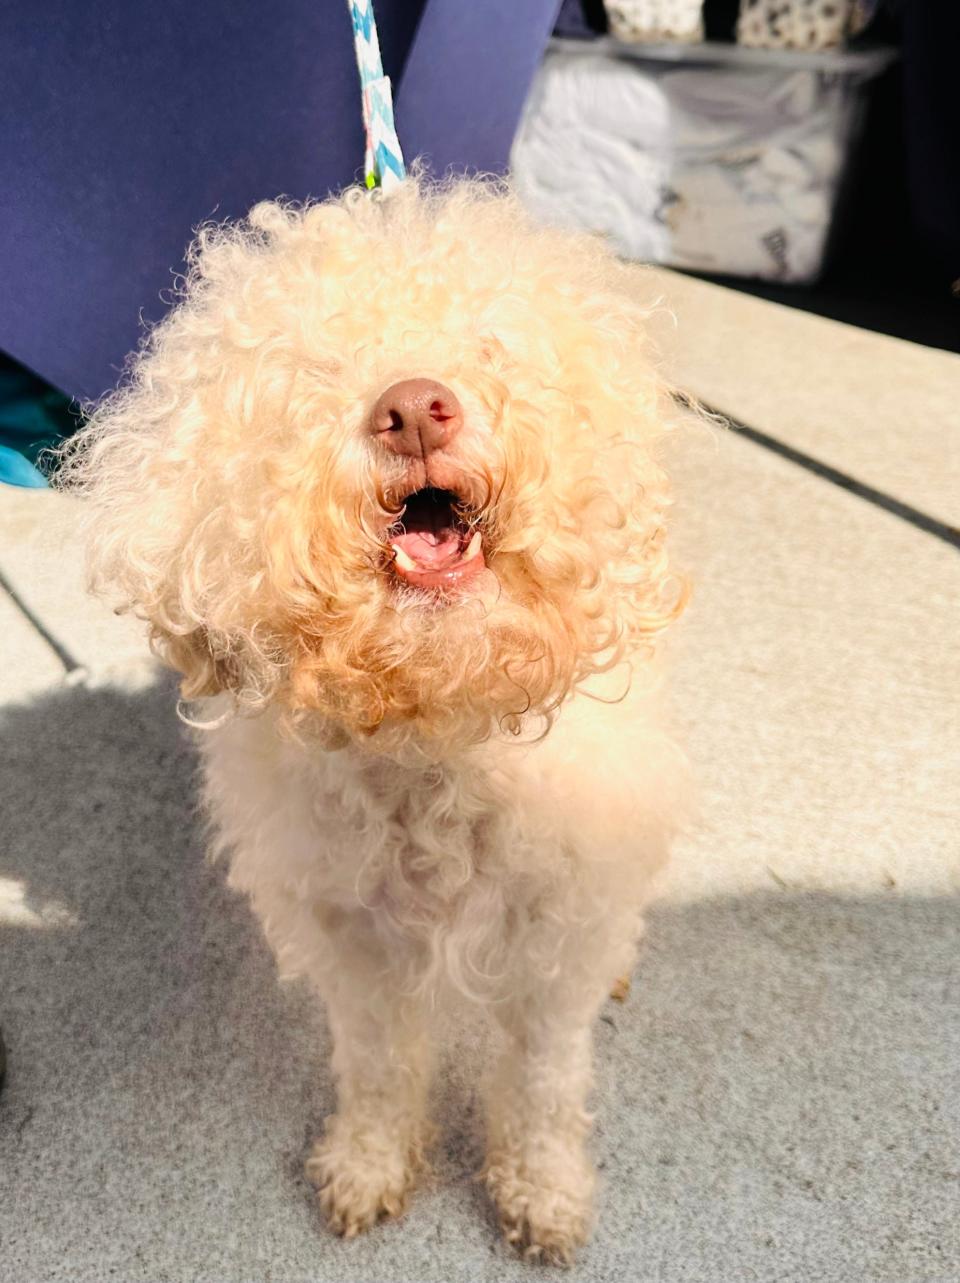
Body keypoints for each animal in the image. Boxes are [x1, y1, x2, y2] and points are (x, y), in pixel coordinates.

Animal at [65, 178, 682, 1262]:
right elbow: (381, 1065)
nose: (412, 408)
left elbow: (543, 1080)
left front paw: (543, 1190)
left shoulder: (555, 928)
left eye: (488, 342)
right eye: (311, 369)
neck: (435, 727)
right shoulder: (354, 941)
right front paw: (369, 1161)